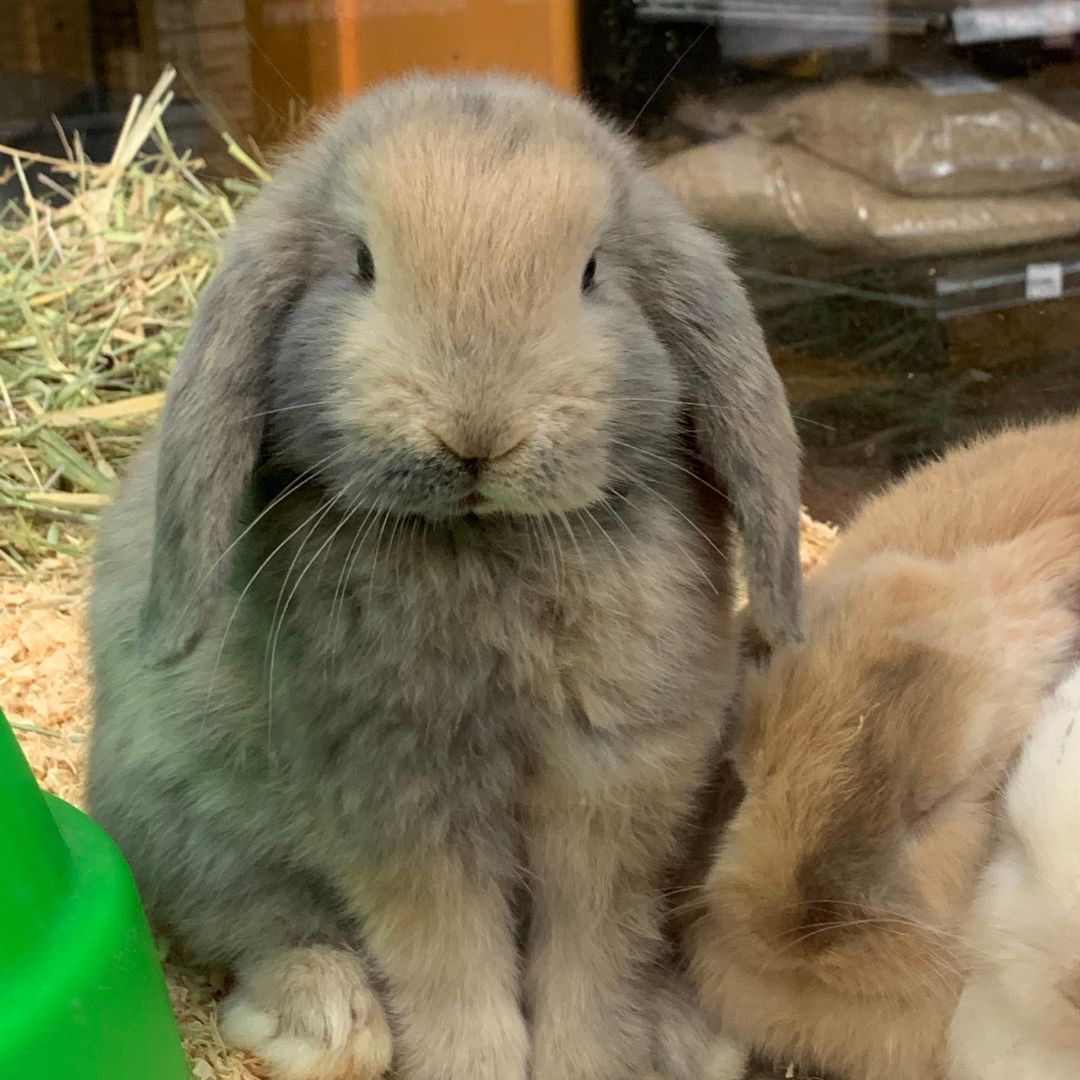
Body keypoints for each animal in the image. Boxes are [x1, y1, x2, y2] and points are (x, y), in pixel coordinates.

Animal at [85, 74, 804, 1080]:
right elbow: (447, 956)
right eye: (360, 262)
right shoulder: (399, 802)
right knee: (263, 925)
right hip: (186, 829)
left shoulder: (615, 785)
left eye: (592, 271)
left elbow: (594, 952)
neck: (482, 542)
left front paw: (589, 1062)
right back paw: (325, 1024)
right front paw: (476, 1065)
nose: (476, 434)